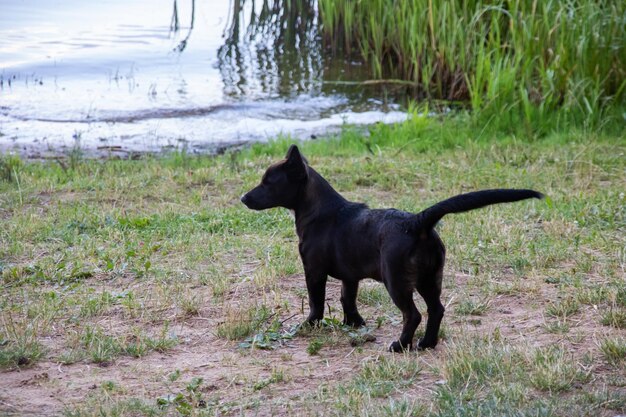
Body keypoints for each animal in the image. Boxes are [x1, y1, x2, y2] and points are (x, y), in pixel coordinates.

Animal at [239, 145, 540, 350]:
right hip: (430, 278)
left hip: (396, 281)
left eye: (268, 182)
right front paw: (354, 324)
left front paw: (309, 325)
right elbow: (347, 299)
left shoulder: (313, 271)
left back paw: (400, 345)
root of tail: (417, 222)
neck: (319, 210)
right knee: (436, 309)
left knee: (413, 314)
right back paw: (426, 344)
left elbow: (317, 302)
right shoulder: (350, 276)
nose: (243, 198)